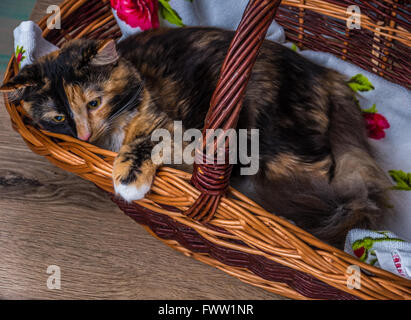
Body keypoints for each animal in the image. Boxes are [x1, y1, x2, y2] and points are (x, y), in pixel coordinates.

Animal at [0, 27, 392, 248]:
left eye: (94, 102)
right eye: (58, 117)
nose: (83, 133)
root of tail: (324, 74)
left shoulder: (176, 131)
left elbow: (143, 141)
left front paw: (128, 179)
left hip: (278, 143)